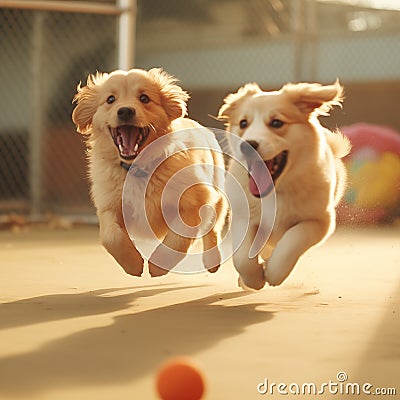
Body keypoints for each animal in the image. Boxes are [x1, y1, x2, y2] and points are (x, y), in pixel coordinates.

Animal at [72, 67, 227, 276]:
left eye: (144, 98)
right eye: (110, 99)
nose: (125, 111)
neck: (138, 167)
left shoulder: (194, 200)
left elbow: (178, 238)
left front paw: (158, 266)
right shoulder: (108, 205)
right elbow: (111, 237)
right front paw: (132, 264)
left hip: (217, 195)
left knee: (212, 228)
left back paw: (212, 261)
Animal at [219, 79, 350, 290]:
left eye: (276, 123)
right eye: (243, 123)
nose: (246, 145)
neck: (275, 192)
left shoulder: (320, 221)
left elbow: (293, 240)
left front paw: (273, 272)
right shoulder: (242, 216)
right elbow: (242, 258)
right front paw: (253, 279)